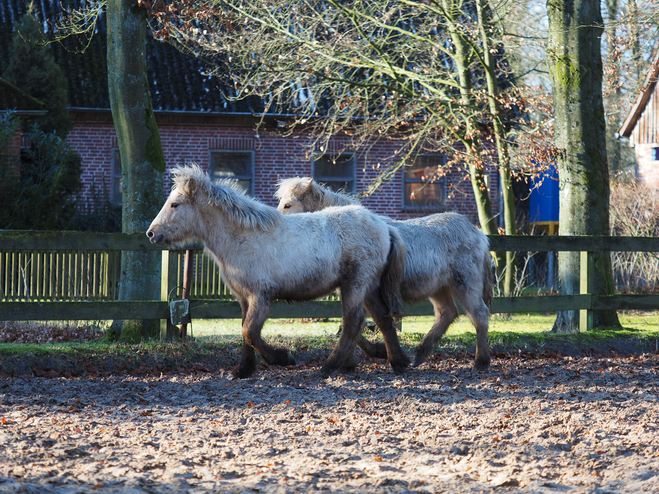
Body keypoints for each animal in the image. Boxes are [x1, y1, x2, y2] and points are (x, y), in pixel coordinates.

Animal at [147, 166, 410, 378]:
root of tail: (383, 226)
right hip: (368, 287)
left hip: (355, 285)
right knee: (383, 319)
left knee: (352, 322)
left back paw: (329, 367)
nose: (151, 233)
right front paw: (242, 370)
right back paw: (398, 362)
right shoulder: (244, 298)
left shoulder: (260, 297)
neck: (242, 237)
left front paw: (283, 358)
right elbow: (245, 332)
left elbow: (249, 332)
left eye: (175, 204)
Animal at [276, 178, 492, 370]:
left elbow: (356, 326)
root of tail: (478, 234)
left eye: (288, 205)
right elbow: (357, 327)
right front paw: (351, 362)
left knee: (479, 315)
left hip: (465, 285)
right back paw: (420, 354)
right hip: (439, 288)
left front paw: (361, 357)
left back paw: (481, 362)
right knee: (446, 313)